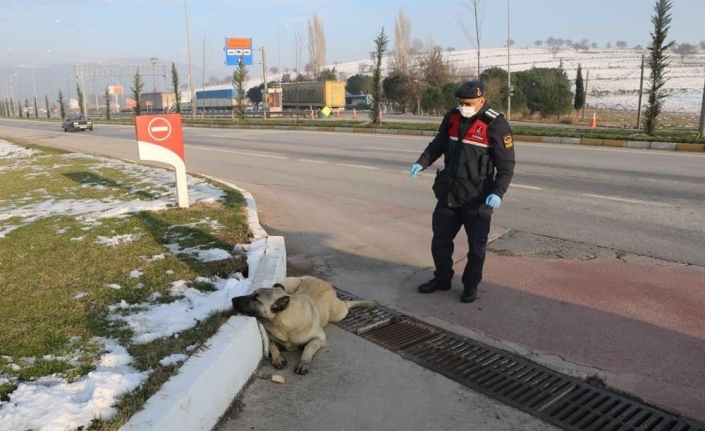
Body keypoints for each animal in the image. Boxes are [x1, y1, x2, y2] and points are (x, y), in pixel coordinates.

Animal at [231, 276, 376, 374]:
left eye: (256, 299)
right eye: (252, 294)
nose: (233, 299)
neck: (286, 321)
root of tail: (324, 281)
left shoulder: (320, 337)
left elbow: (309, 346)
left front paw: (304, 361)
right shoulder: (273, 339)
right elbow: (272, 345)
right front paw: (277, 358)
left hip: (338, 314)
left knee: (347, 304)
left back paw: (368, 303)